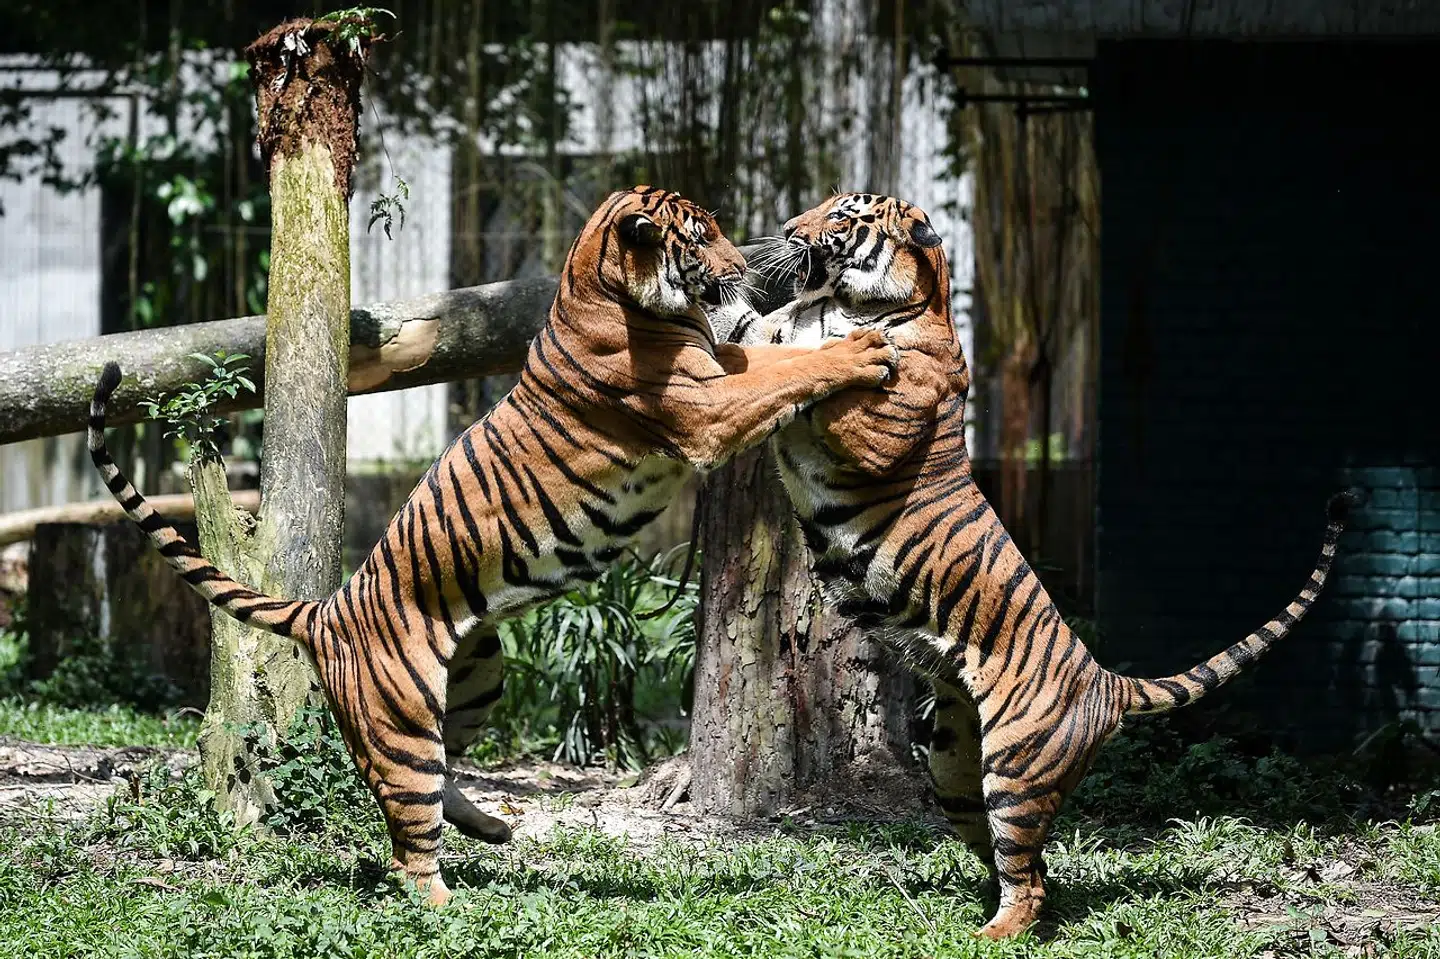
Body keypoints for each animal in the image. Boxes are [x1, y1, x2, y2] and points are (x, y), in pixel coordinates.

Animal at [87, 186, 902, 905]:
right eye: (700, 237)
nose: (747, 262)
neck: (599, 285)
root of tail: (327, 610)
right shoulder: (705, 404)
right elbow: (790, 369)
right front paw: (862, 349)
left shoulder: (721, 367)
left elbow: (776, 353)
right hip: (402, 719)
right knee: (409, 833)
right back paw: (448, 904)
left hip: (477, 680)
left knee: (443, 779)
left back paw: (494, 830)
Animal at [743, 191, 1353, 939]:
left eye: (841, 216)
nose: (788, 230)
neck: (851, 301)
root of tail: (1106, 682)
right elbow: (759, 338)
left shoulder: (874, 426)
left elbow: (824, 378)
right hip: (954, 769)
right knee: (1026, 870)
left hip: (1013, 770)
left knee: (1029, 880)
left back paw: (988, 935)